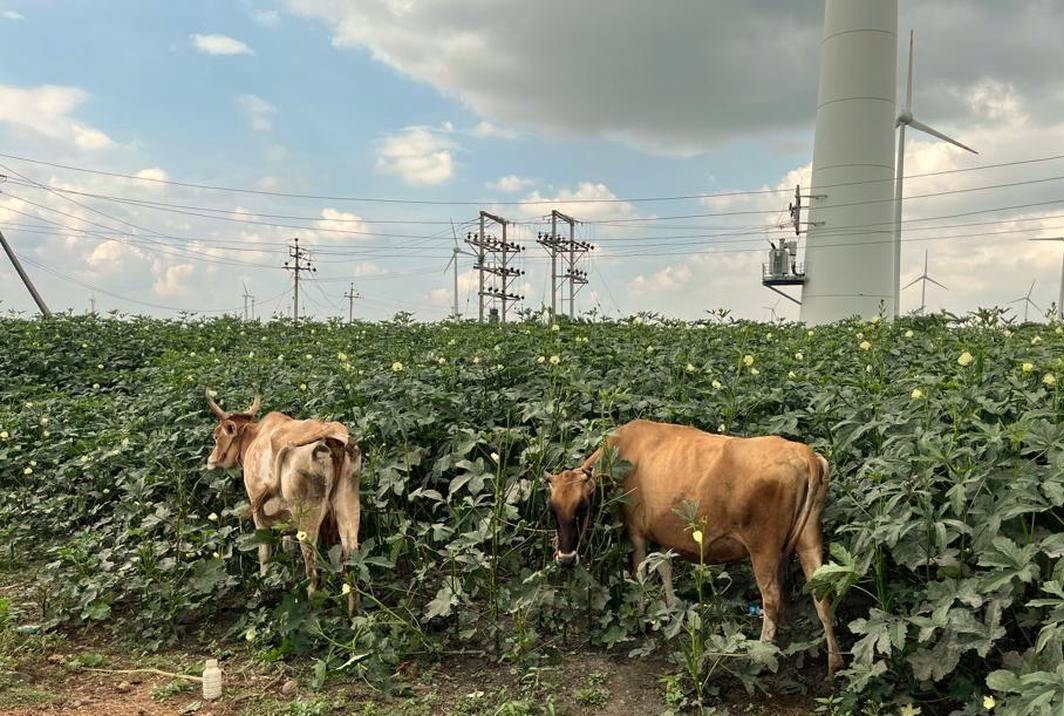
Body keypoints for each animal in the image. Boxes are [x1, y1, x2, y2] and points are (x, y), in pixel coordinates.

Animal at [202, 387, 361, 612]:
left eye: (216, 436)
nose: (211, 460)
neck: (252, 438)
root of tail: (330, 437)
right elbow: (287, 547)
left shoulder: (258, 509)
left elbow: (264, 553)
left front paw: (262, 590)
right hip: (348, 504)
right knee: (351, 557)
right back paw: (352, 611)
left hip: (307, 516)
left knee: (312, 566)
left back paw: (311, 604)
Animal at [544, 419, 842, 676]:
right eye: (552, 510)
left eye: (582, 507)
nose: (566, 559)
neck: (625, 449)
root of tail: (804, 454)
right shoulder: (663, 532)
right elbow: (664, 567)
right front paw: (672, 609)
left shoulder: (635, 529)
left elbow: (640, 573)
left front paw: (641, 616)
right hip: (809, 539)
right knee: (822, 598)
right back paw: (834, 664)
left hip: (763, 548)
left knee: (771, 598)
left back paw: (759, 655)